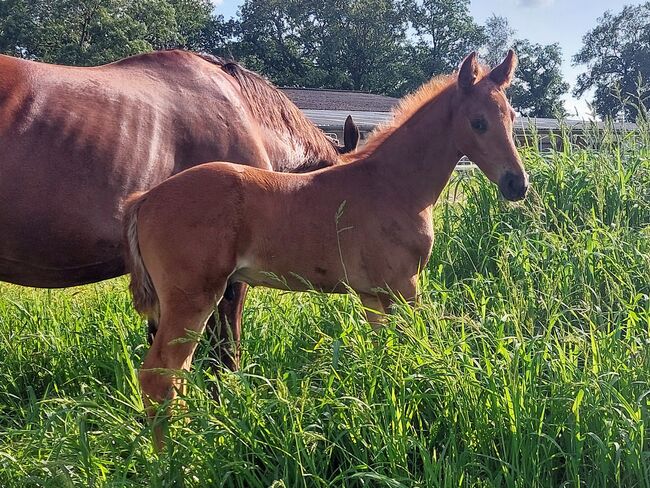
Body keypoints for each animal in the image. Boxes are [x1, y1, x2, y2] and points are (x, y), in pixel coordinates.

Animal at [123, 49, 528, 432]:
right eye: (478, 122)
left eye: (511, 117)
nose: (517, 184)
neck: (391, 184)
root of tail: (144, 200)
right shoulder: (403, 288)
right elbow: (410, 349)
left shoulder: (373, 295)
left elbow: (387, 355)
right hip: (193, 298)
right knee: (159, 375)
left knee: (175, 376)